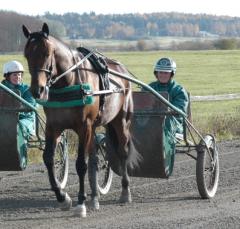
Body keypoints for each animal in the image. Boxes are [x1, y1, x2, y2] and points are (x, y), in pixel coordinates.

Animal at [22, 23, 141, 218]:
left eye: (47, 53)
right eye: (26, 54)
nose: (37, 90)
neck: (69, 82)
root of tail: (121, 70)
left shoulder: (84, 126)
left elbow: (80, 164)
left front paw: (80, 203)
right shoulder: (53, 126)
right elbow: (48, 159)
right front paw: (63, 198)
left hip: (120, 120)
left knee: (122, 151)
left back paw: (125, 192)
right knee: (93, 158)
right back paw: (94, 197)